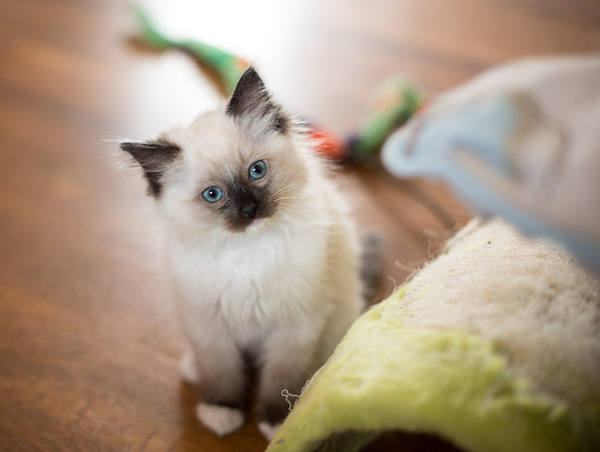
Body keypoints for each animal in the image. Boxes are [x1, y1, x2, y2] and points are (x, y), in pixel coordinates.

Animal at [119, 68, 364, 442]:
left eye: (257, 171)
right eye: (213, 194)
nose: (250, 209)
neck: (248, 253)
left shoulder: (294, 327)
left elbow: (280, 380)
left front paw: (278, 423)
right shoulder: (211, 325)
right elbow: (222, 373)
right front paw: (221, 412)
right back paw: (193, 368)